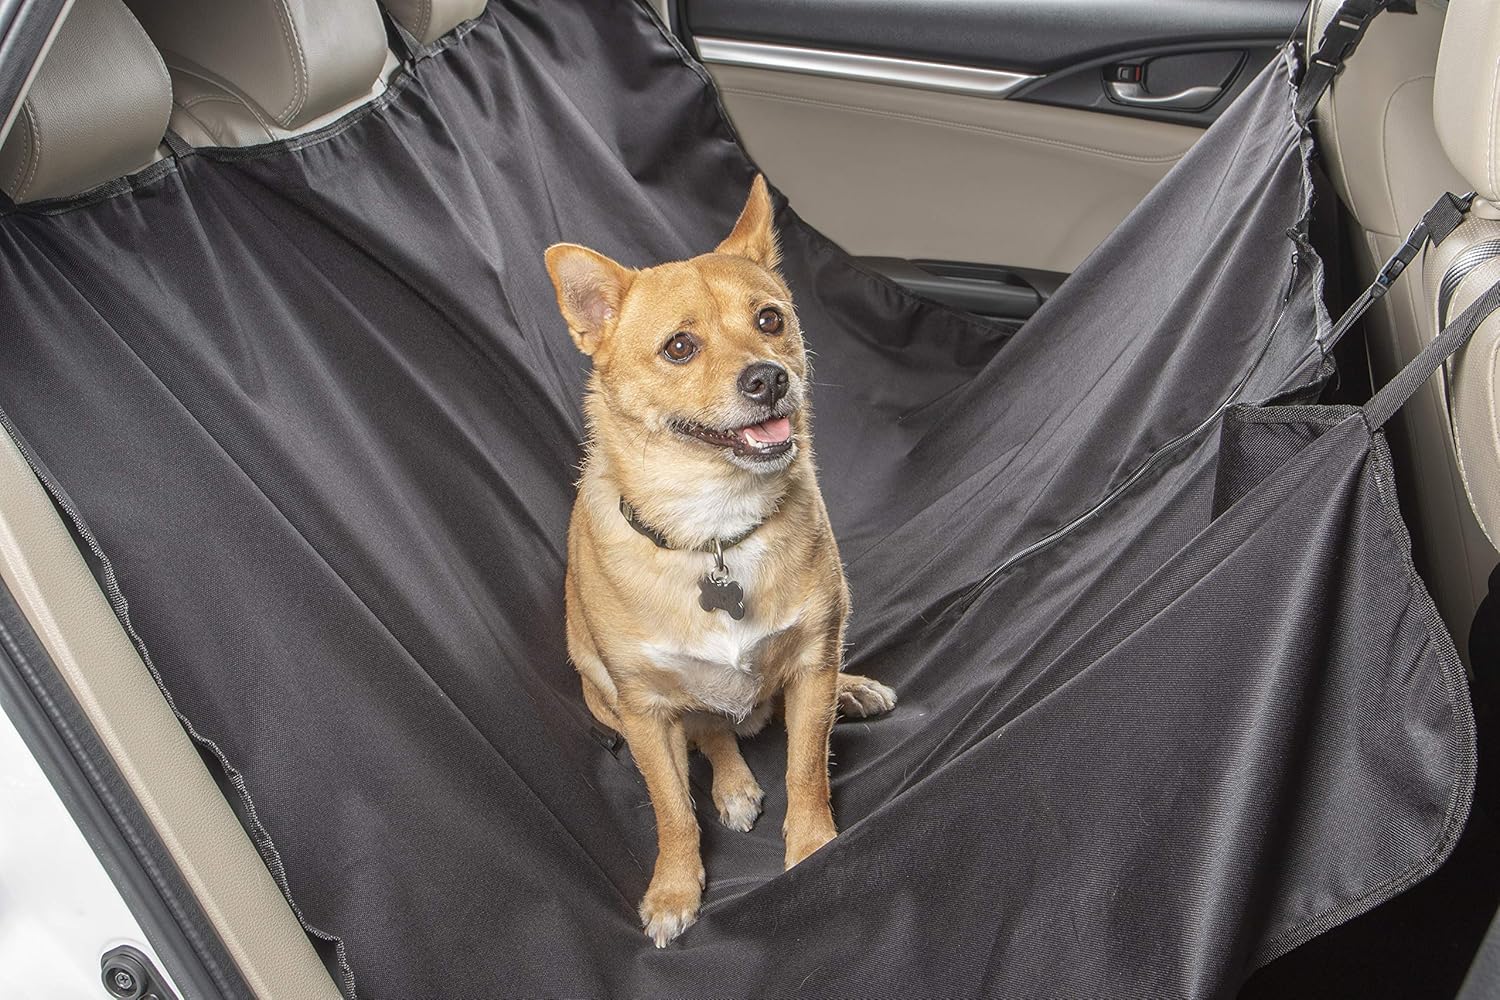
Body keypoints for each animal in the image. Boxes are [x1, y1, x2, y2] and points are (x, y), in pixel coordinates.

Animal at [549, 176, 894, 941]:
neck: (715, 531)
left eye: (770, 320)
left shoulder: (810, 659)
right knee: (710, 733)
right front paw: (675, 888)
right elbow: (673, 809)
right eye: (679, 347)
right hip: (607, 697)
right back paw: (734, 784)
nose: (769, 379)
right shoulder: (646, 713)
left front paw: (813, 846)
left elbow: (805, 771)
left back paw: (850, 694)